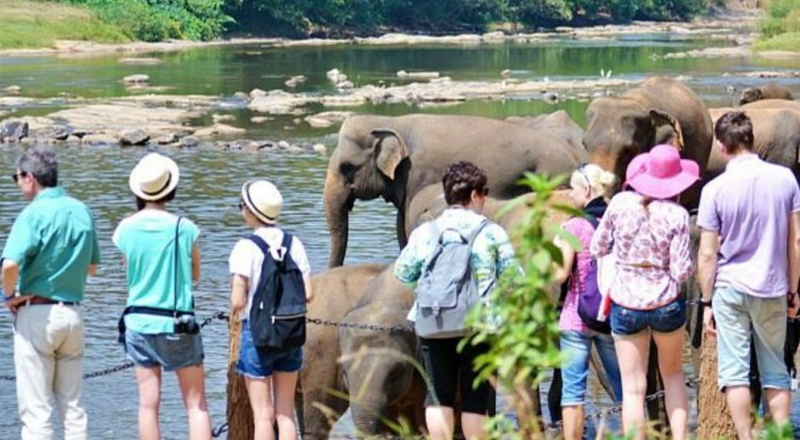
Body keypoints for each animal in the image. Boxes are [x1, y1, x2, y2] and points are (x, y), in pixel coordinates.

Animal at [322, 111, 584, 266]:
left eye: (346, 167)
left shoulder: (418, 172)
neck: (390, 121)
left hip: (551, 174)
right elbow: (400, 224)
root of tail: (573, 154)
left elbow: (405, 223)